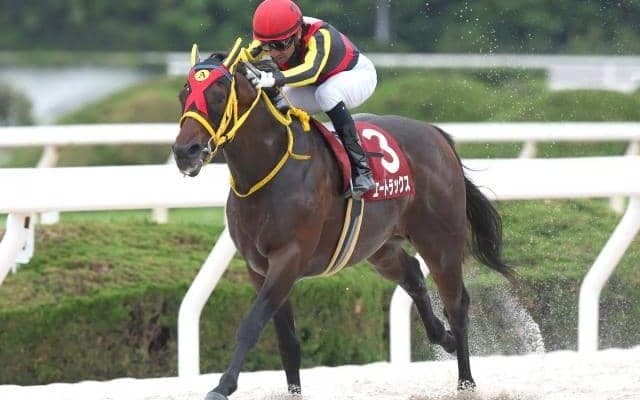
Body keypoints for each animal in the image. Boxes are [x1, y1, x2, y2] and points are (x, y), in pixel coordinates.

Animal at [172, 43, 516, 400]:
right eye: (184, 92)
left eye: (218, 93)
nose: (185, 152)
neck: (267, 171)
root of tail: (435, 133)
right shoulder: (258, 267)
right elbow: (287, 342)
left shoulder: (288, 259)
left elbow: (252, 325)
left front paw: (222, 386)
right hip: (378, 247)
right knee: (412, 275)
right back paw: (442, 338)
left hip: (440, 241)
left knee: (457, 304)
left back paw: (466, 382)